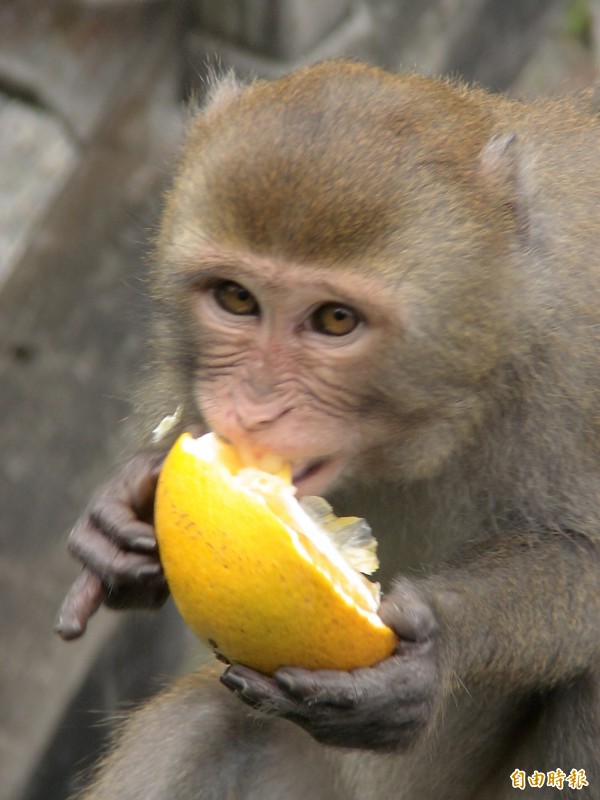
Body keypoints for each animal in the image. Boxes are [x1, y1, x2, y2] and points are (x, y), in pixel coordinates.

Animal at [55, 59, 600, 796]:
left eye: (336, 320)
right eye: (236, 298)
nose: (254, 410)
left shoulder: (577, 359)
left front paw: (438, 645)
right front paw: (125, 511)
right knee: (200, 722)